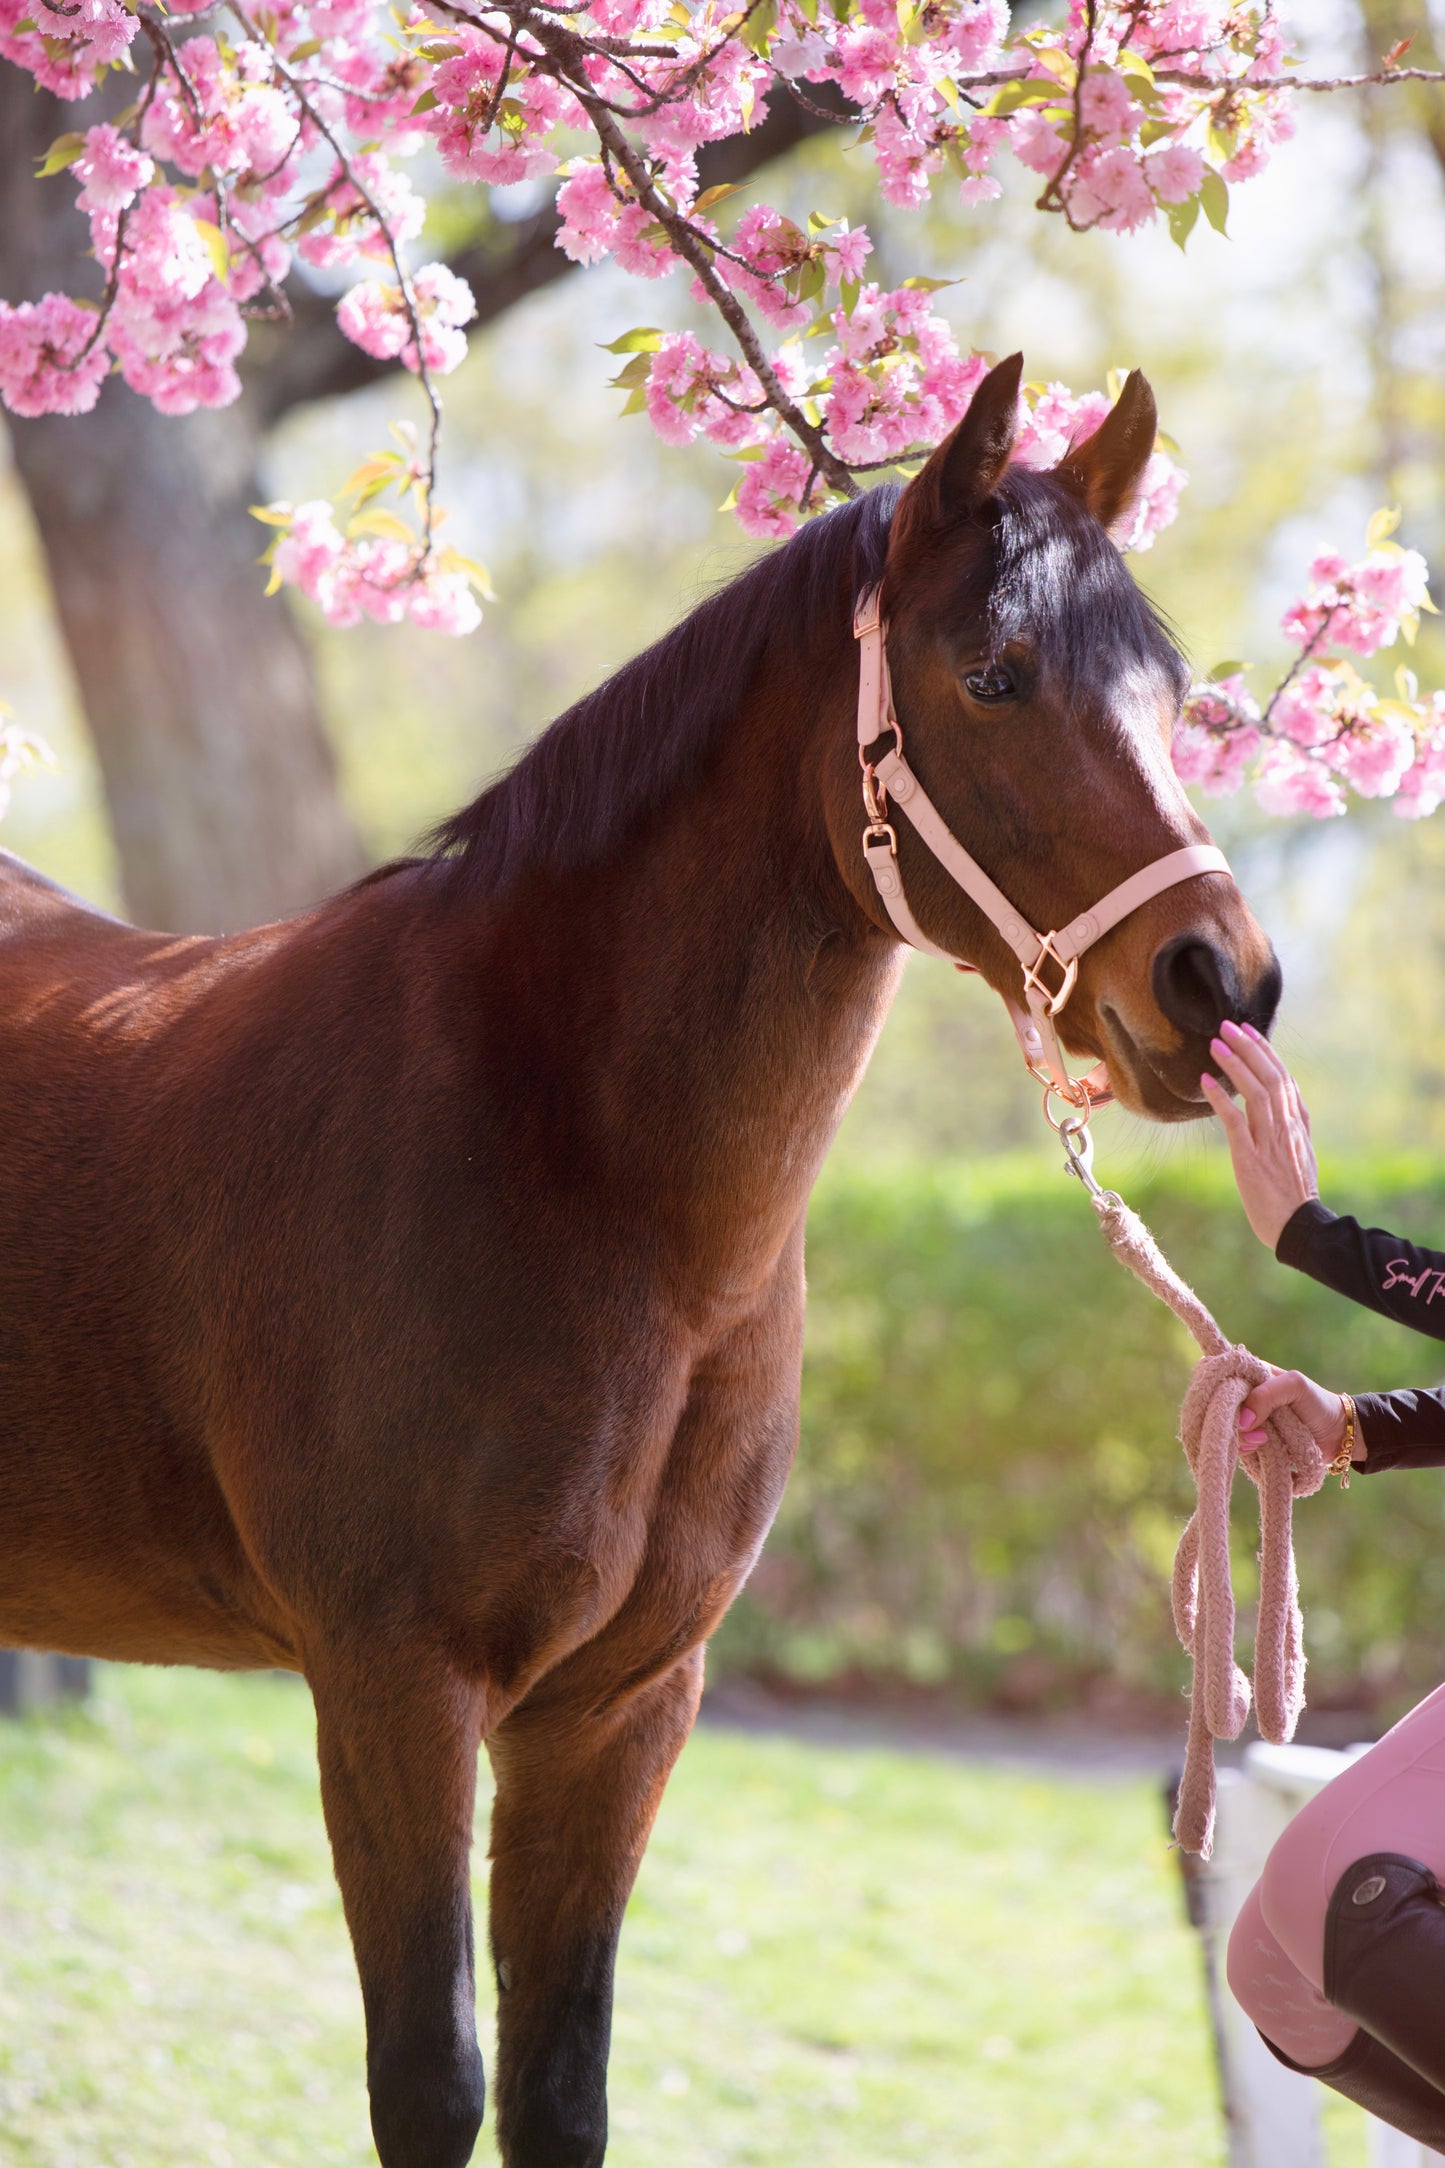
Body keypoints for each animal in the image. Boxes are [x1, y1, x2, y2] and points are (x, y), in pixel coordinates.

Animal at [0, 353, 1280, 2168]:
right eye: (993, 674)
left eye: (1172, 695)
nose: (1219, 981)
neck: (586, 1181)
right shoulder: (394, 1686)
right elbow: (432, 2079)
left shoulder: (617, 1710)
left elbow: (562, 2085)